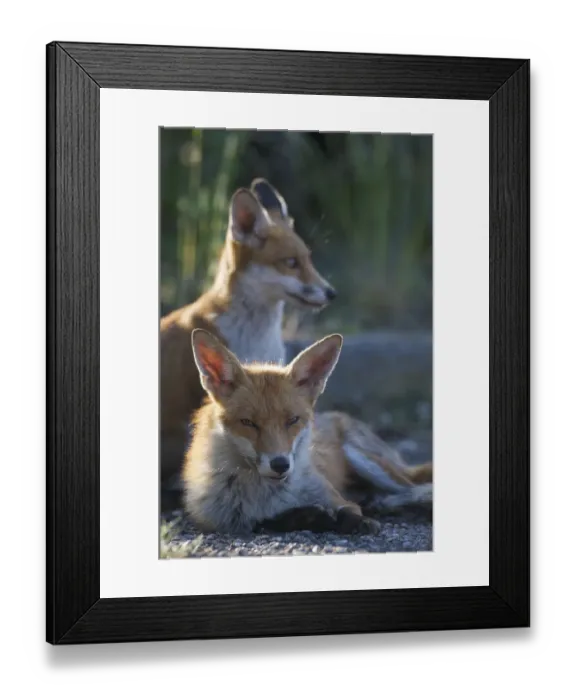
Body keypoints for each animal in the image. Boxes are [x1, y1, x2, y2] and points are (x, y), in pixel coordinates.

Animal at [182, 328, 433, 536]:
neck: (269, 495)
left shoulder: (337, 498)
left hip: (363, 458)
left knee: (420, 487)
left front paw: (357, 522)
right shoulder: (229, 522)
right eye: (248, 422)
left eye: (293, 420)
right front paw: (312, 517)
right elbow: (273, 521)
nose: (280, 464)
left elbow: (349, 512)